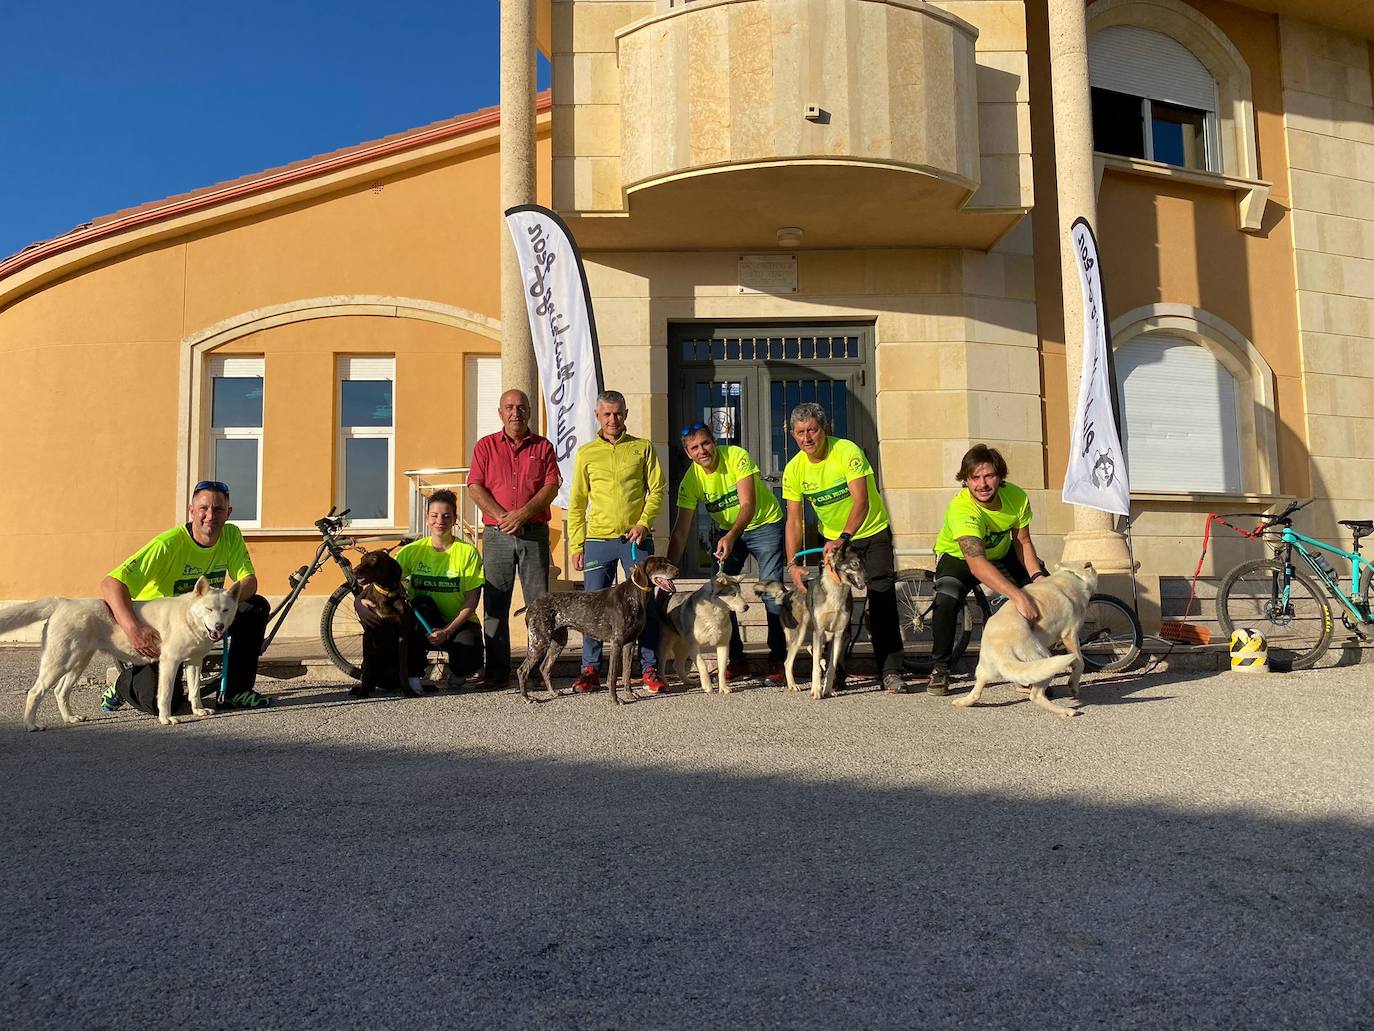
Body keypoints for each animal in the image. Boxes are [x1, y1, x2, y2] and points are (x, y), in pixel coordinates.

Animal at [516, 560, 678, 709]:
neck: (634, 596)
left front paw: (629, 694)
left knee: (544, 668)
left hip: (558, 642)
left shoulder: (630, 643)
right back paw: (526, 698)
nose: (677, 571)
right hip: (539, 641)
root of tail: (532, 604)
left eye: (669, 561)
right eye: (661, 564)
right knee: (522, 670)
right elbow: (613, 676)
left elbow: (627, 673)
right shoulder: (617, 643)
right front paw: (614, 699)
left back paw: (552, 692)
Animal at [956, 566, 1093, 720]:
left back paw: (964, 701)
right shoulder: (1070, 635)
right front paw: (1074, 685)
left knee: (978, 693)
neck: (1071, 576)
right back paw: (1064, 710)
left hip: (987, 670)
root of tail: (1002, 649)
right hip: (1043, 660)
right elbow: (1080, 662)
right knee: (1036, 695)